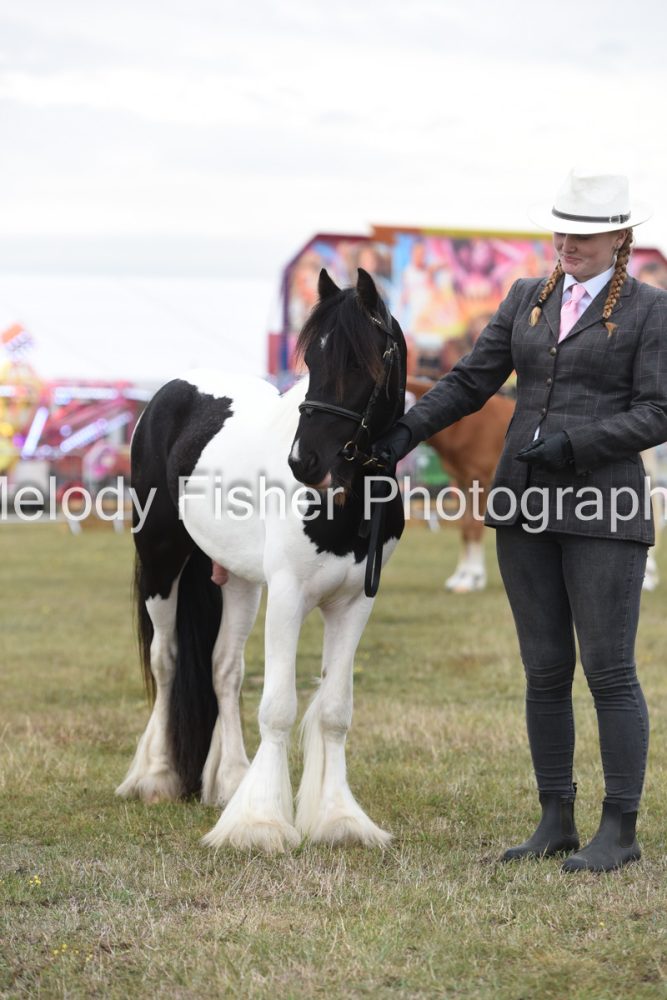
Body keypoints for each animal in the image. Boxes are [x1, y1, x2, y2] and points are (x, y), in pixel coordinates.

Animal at [116, 268, 407, 853]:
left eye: (359, 362)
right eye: (311, 360)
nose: (303, 461)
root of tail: (167, 393)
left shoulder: (355, 603)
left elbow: (334, 712)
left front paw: (338, 819)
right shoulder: (290, 594)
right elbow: (277, 707)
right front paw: (261, 825)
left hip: (237, 582)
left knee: (223, 669)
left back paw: (228, 780)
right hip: (160, 558)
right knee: (166, 660)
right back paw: (157, 776)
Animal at [405, 376, 515, 592]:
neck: (463, 425)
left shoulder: (479, 480)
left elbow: (474, 526)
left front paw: (472, 579)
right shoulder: (463, 483)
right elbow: (464, 527)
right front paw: (462, 576)